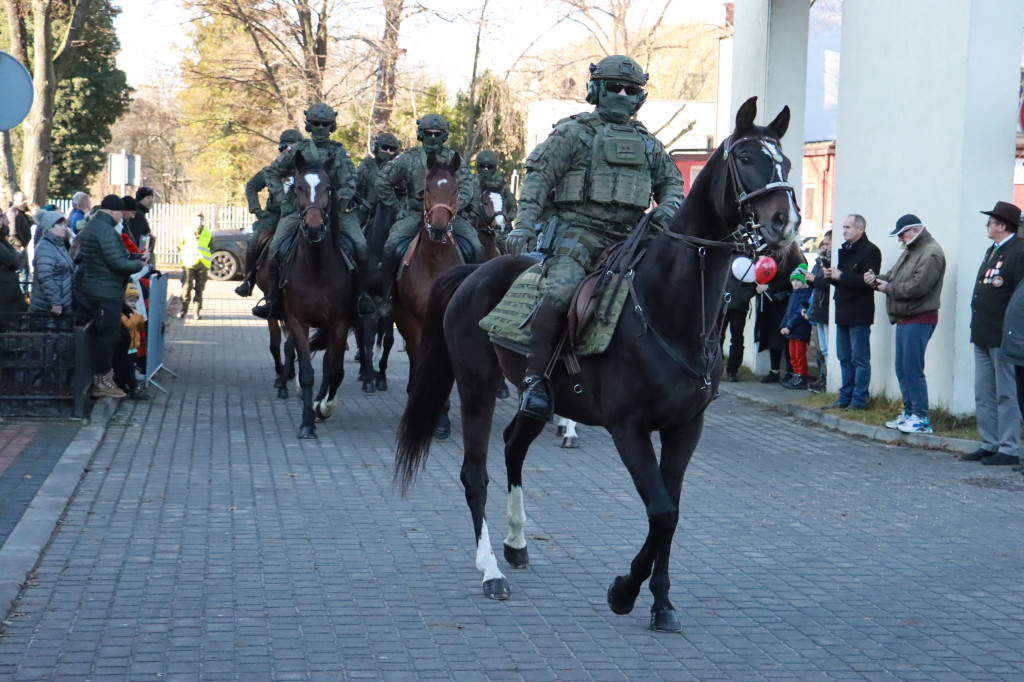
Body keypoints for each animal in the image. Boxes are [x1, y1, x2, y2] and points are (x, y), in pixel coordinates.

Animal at [395, 98, 802, 630]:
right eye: (747, 158)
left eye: (786, 162)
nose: (785, 223)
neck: (668, 308)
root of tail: (473, 272)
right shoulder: (628, 428)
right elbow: (662, 511)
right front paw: (624, 591)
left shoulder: (684, 428)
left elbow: (671, 511)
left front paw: (662, 603)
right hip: (477, 386)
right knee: (475, 473)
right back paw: (490, 571)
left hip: (538, 397)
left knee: (513, 447)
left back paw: (517, 542)